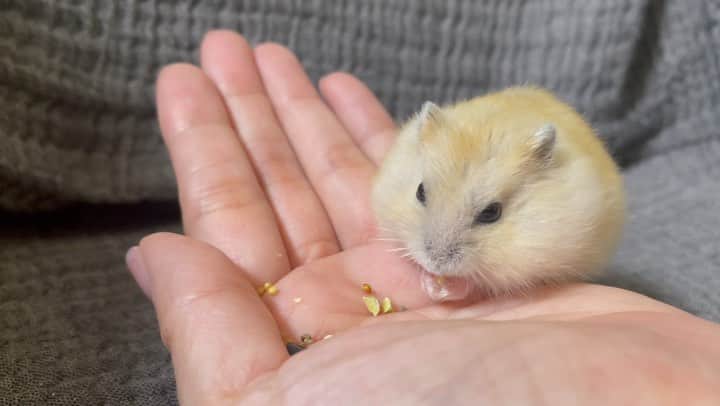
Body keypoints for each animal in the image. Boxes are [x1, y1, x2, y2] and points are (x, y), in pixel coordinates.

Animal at [371, 86, 625, 300]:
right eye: (420, 192)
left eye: (492, 213)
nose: (436, 264)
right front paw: (430, 283)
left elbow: (479, 282)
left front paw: (443, 289)